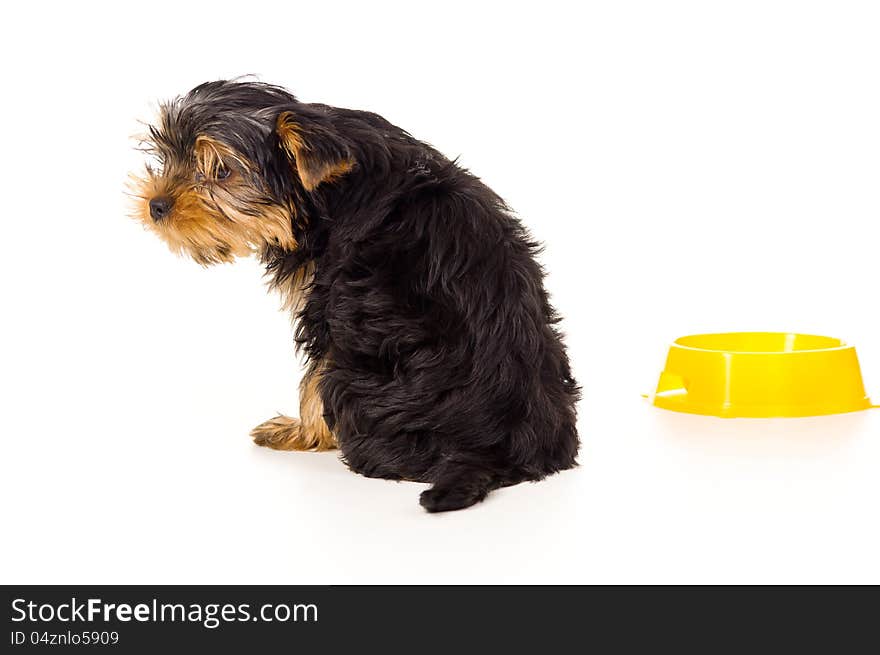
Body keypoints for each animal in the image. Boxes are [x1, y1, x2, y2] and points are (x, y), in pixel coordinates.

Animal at [131, 80, 580, 512]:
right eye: (166, 155)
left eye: (221, 171)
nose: (156, 205)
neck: (323, 193)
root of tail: (496, 450)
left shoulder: (325, 302)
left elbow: (312, 379)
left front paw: (302, 432)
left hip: (358, 376)